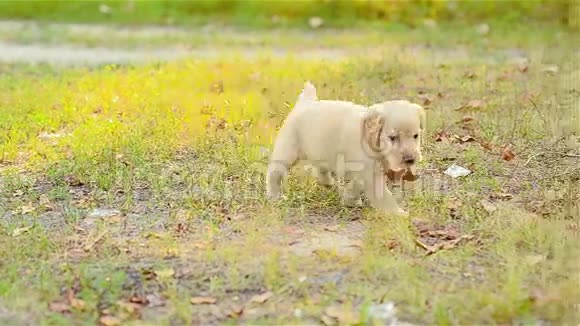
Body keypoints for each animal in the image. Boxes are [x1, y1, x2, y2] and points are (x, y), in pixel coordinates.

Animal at [268, 80, 426, 215]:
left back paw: (327, 182)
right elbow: (382, 194)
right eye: (392, 138)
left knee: (321, 168)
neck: (369, 138)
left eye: (415, 136)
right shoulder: (369, 173)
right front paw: (397, 213)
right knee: (274, 173)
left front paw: (351, 199)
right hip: (287, 151)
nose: (410, 160)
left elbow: (355, 184)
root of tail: (304, 103)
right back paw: (274, 196)